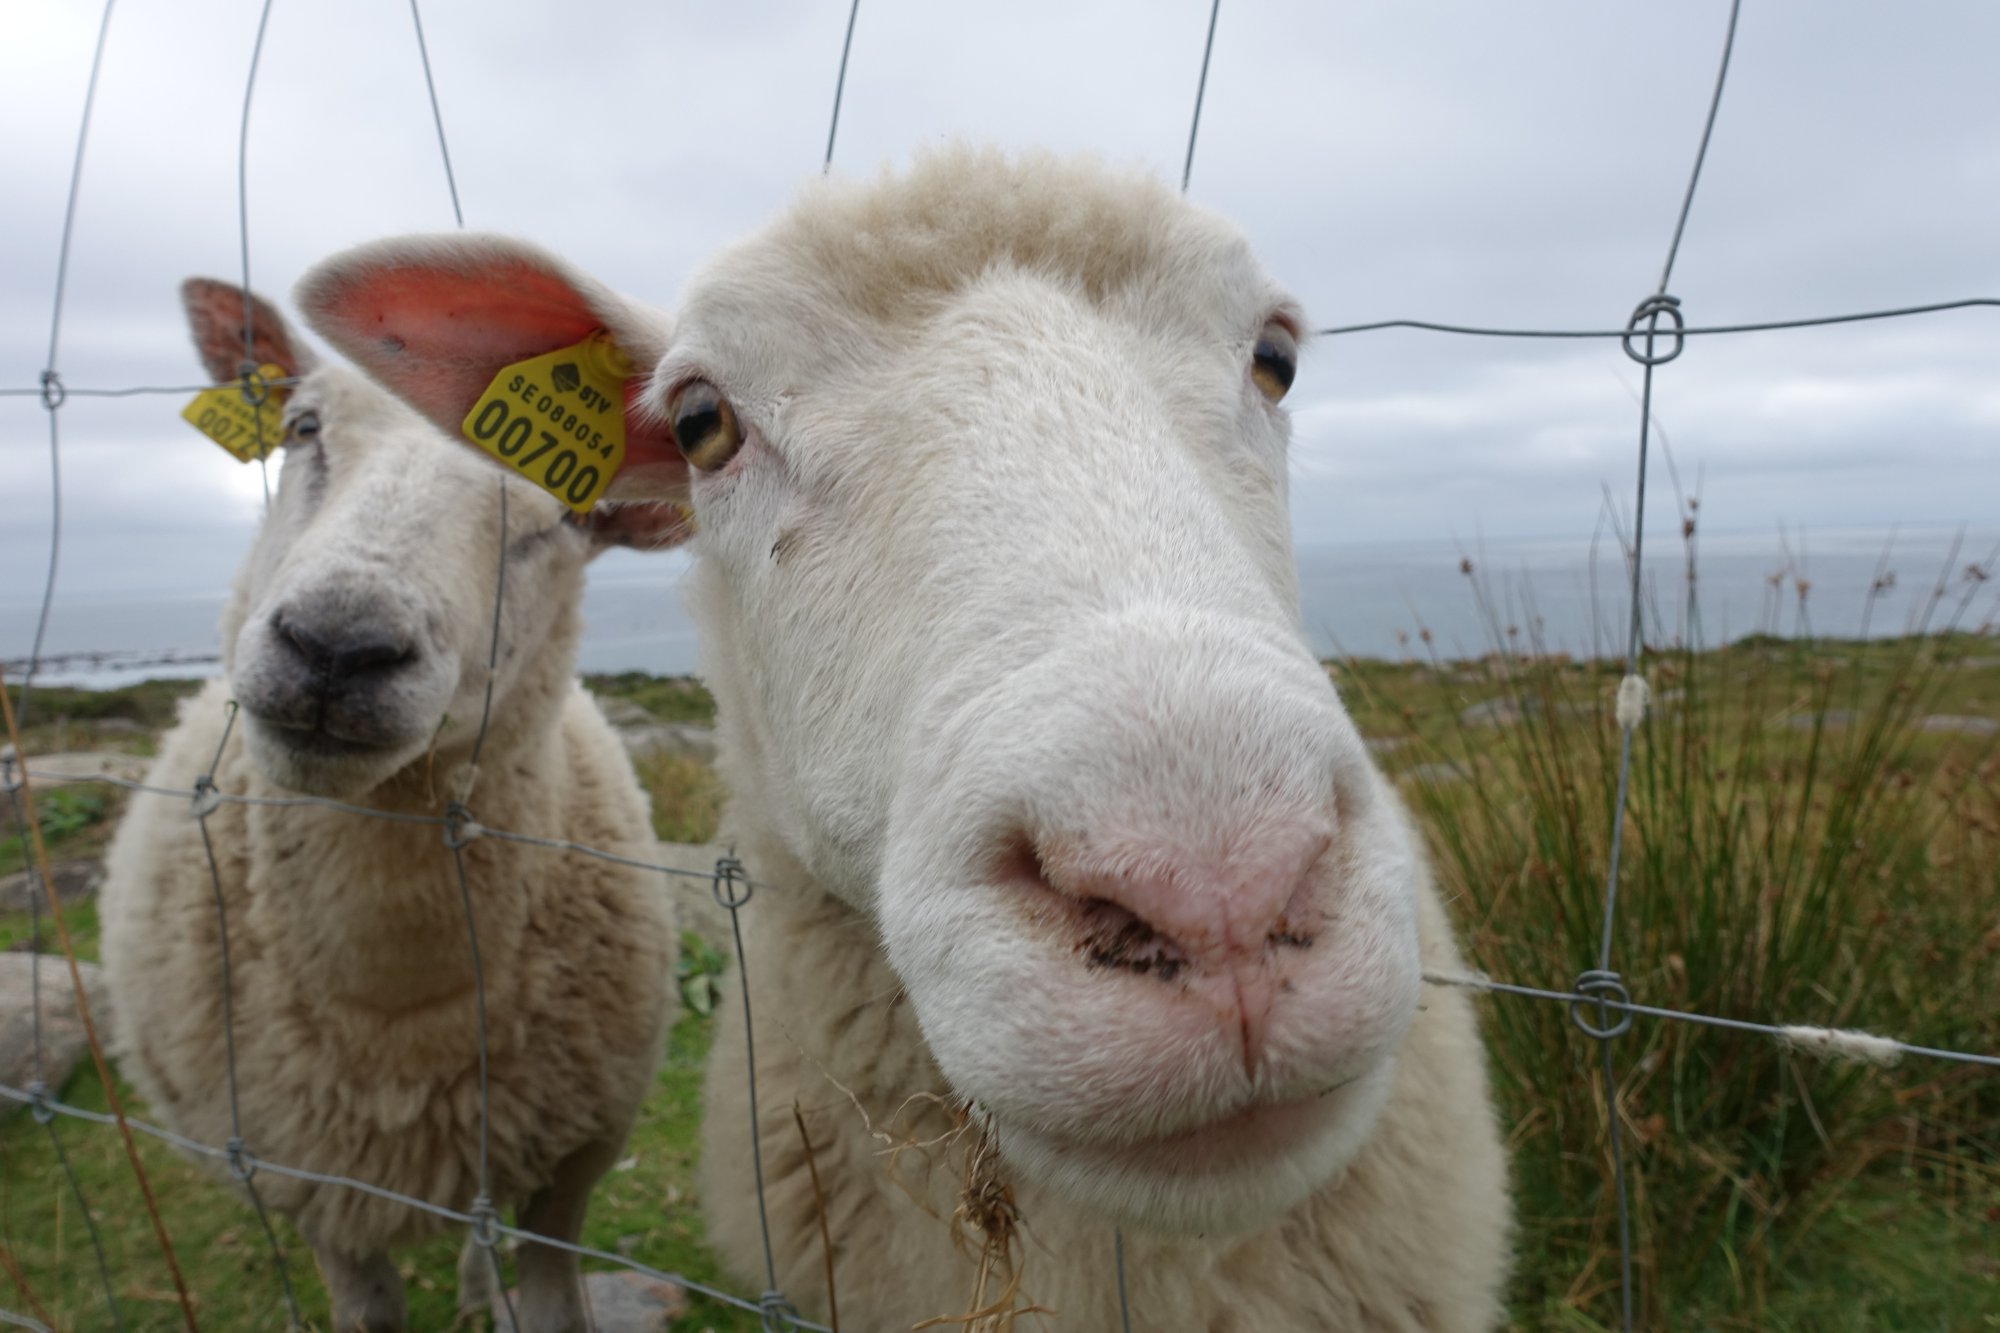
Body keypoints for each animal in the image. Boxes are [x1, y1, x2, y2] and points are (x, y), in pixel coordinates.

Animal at [97, 279, 678, 1333]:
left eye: (571, 512)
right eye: (303, 426)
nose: (336, 646)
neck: (394, 1000)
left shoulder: (572, 1166)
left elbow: (553, 1300)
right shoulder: (313, 1185)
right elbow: (367, 1311)